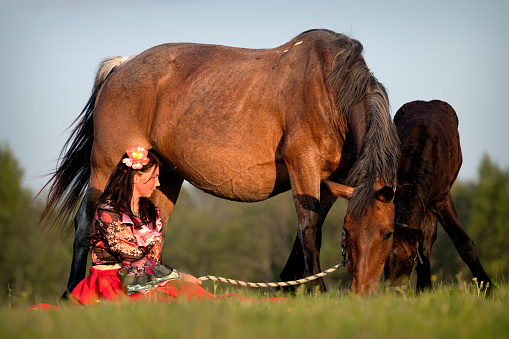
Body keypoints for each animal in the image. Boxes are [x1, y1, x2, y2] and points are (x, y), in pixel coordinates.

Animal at [41, 29, 398, 298]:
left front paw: (289, 288)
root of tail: (123, 65)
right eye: (347, 233)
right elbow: (309, 231)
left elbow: (307, 233)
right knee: (86, 223)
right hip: (107, 167)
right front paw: (314, 292)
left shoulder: (334, 182)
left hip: (164, 177)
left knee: (153, 230)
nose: (362, 295)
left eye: (388, 234)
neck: (329, 89)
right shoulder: (304, 167)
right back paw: (69, 294)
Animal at [384, 99, 492, 294]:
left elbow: (464, 243)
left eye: (407, 260)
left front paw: (488, 287)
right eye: (384, 261)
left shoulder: (442, 199)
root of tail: (426, 102)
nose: (392, 292)